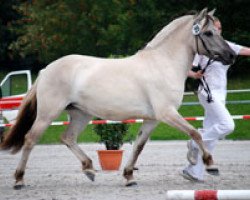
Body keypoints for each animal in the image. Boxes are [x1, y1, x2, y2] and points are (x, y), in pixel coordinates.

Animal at [0, 8, 234, 189]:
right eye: (209, 33)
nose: (231, 56)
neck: (163, 63)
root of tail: (47, 69)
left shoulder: (152, 119)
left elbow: (139, 146)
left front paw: (129, 176)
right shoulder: (167, 113)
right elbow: (195, 132)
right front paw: (210, 164)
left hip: (81, 114)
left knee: (67, 138)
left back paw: (89, 169)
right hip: (48, 113)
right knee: (30, 139)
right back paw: (19, 180)